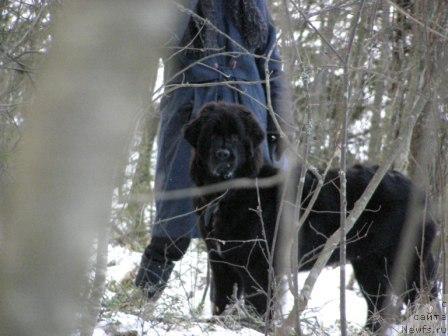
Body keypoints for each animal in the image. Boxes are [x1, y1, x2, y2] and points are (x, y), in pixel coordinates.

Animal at [183, 102, 438, 330]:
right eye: (212, 135)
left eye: (236, 137)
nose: (223, 155)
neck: (226, 194)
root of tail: (422, 195)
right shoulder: (221, 263)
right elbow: (221, 300)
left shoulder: (260, 265)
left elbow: (259, 305)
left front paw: (254, 327)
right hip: (368, 263)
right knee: (379, 303)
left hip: (404, 260)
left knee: (424, 300)